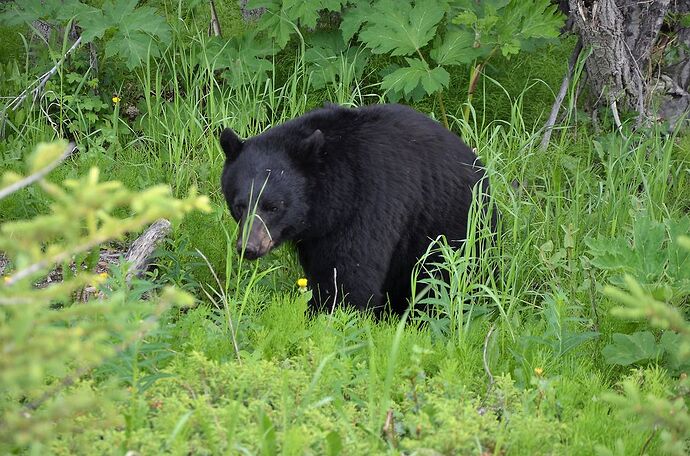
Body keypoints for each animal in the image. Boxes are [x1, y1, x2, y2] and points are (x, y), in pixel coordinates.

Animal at [218, 104, 492, 316]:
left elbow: (349, 272)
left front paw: (331, 316)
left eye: (273, 206)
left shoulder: (369, 201)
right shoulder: (317, 234)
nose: (249, 248)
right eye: (239, 206)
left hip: (457, 229)